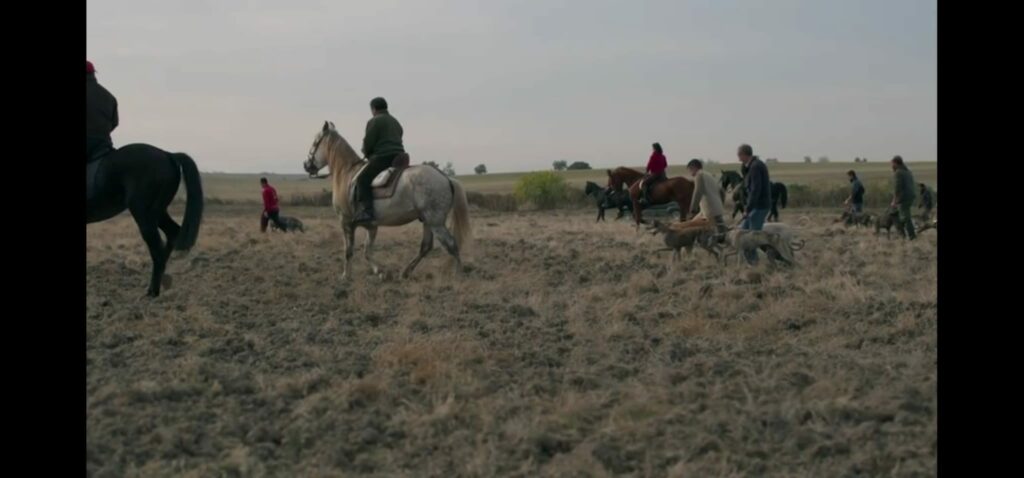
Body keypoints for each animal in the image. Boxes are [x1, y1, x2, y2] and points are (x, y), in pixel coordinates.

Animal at [87, 144, 203, 296]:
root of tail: (168, 154)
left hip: (144, 213)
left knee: (157, 248)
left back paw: (152, 292)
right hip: (158, 212)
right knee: (172, 233)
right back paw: (163, 282)